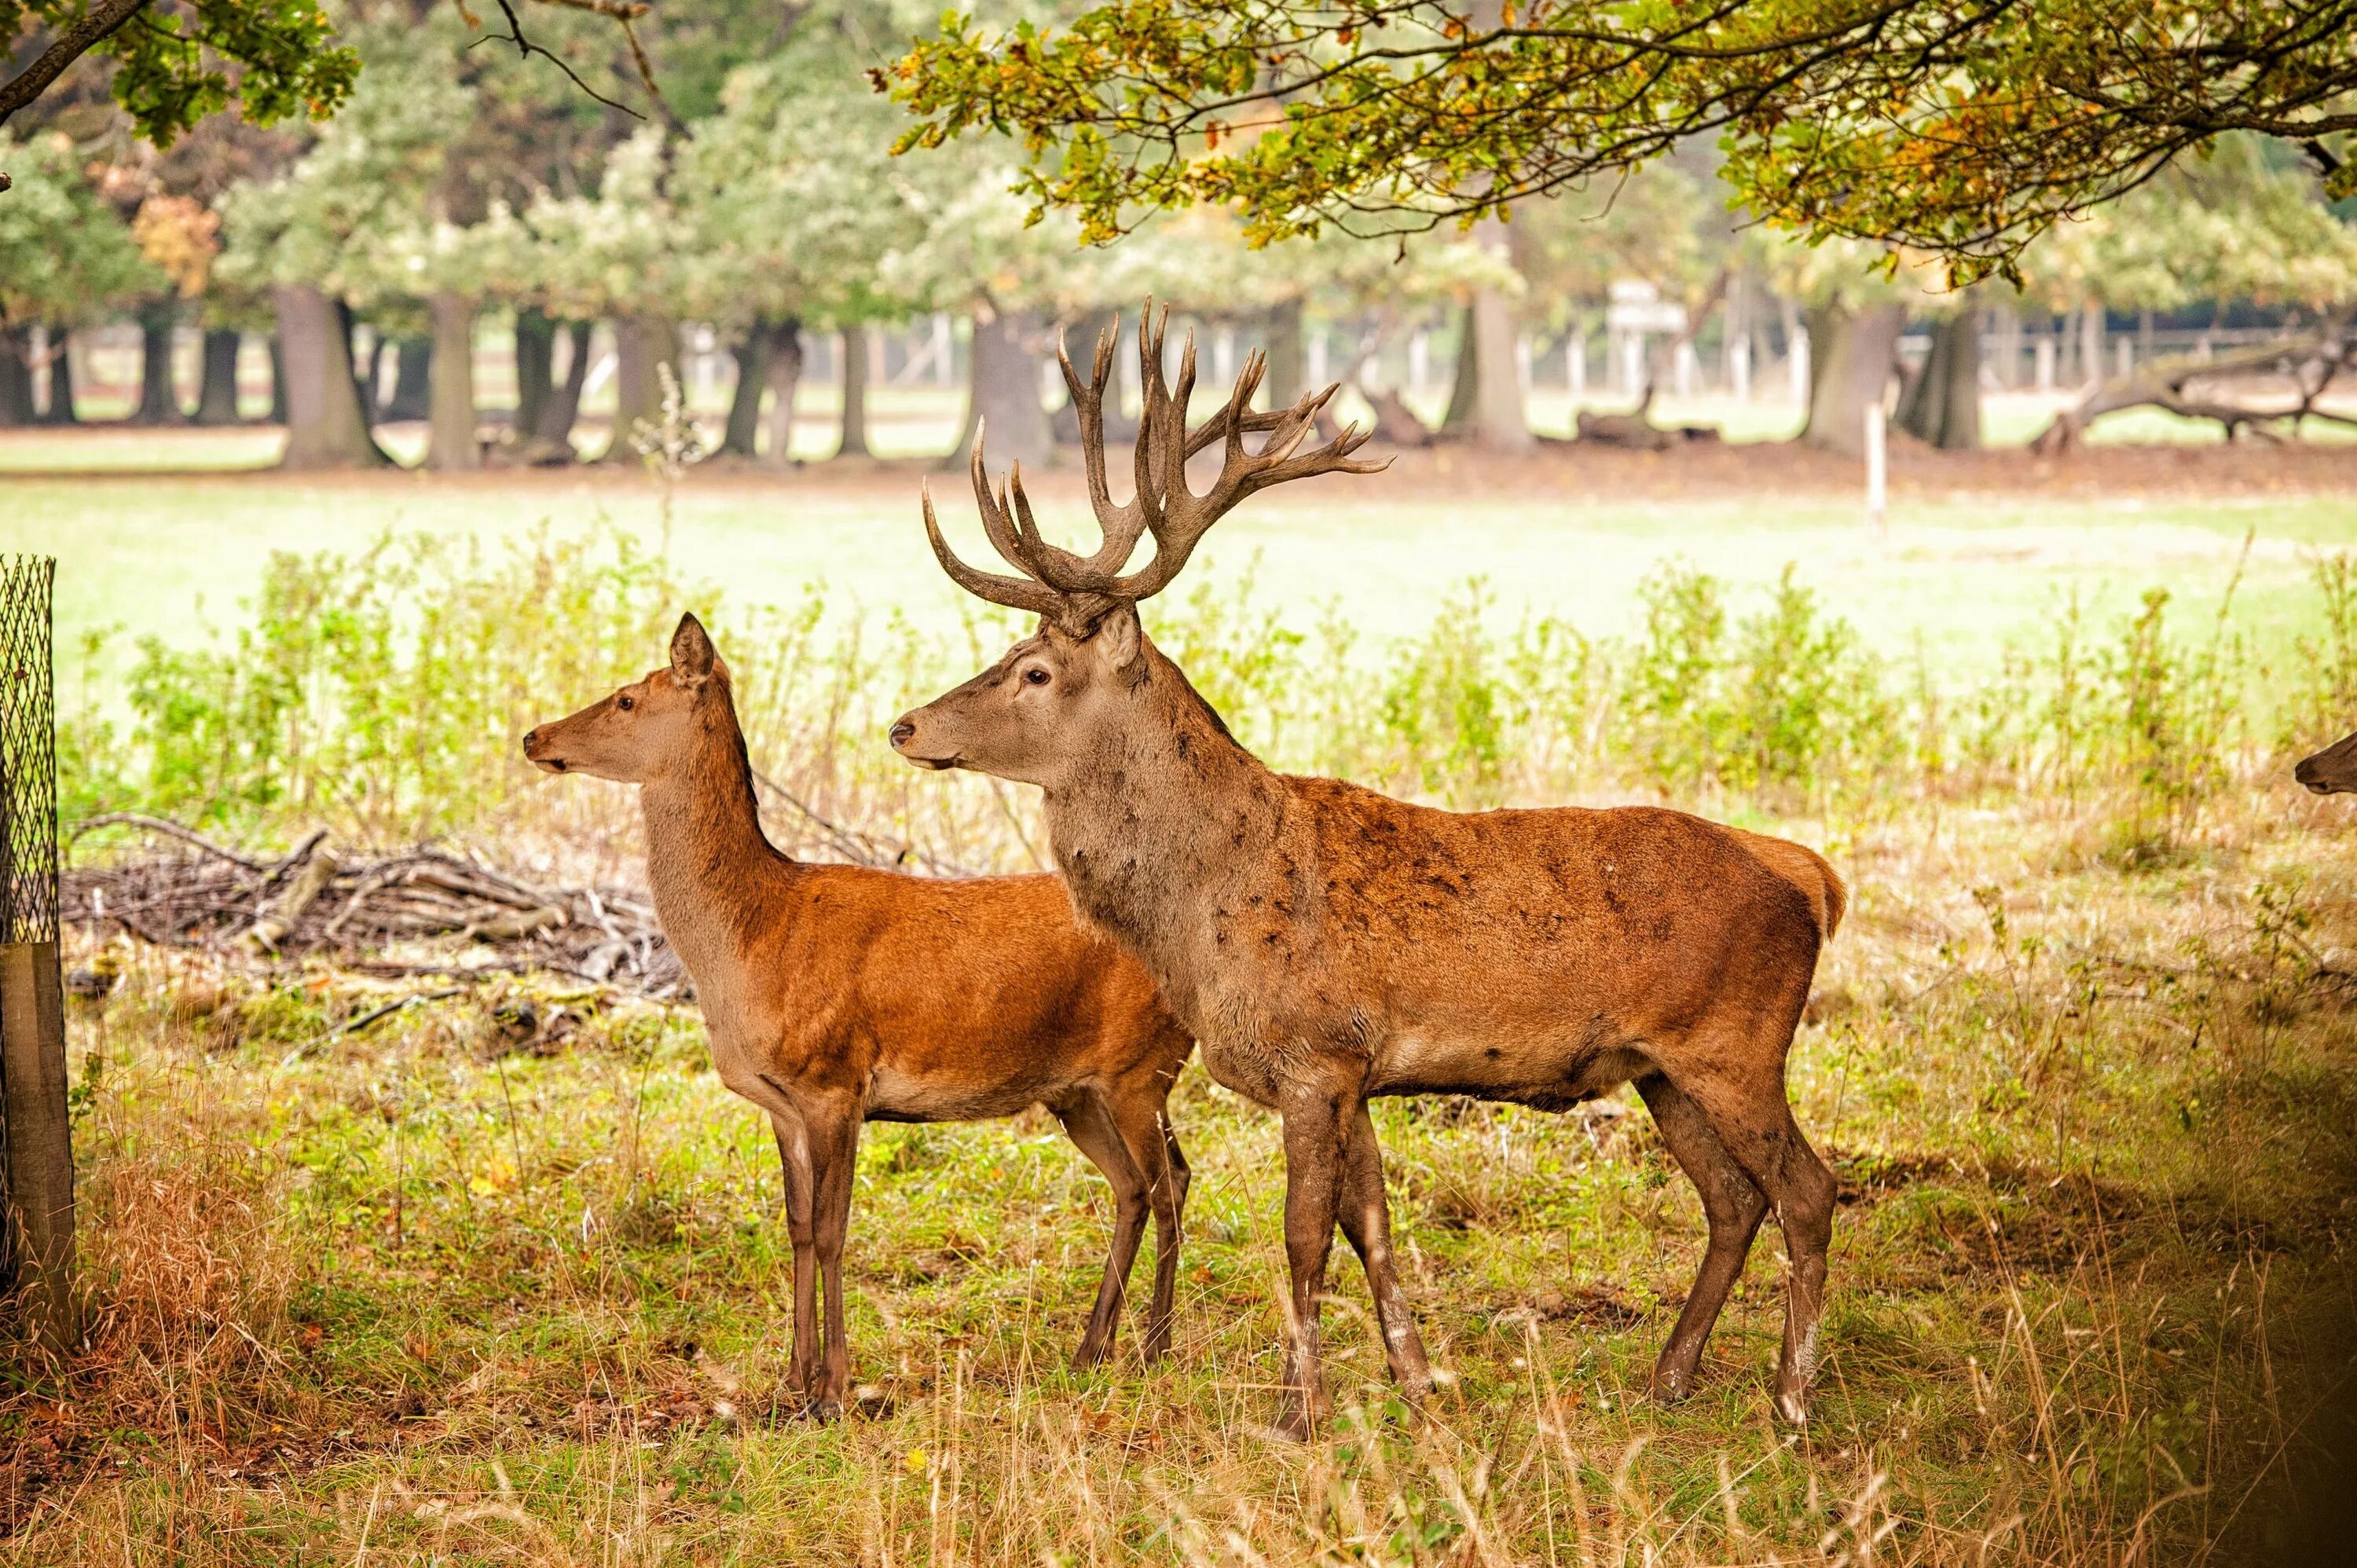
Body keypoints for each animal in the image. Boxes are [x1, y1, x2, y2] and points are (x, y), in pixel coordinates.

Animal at [535, 617, 1197, 1414]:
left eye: (627, 698)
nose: (535, 737)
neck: (750, 941)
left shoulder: (834, 1081)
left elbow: (832, 1230)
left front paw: (835, 1388)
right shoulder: (782, 1104)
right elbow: (795, 1226)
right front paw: (790, 1381)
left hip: (1142, 1069)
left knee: (1170, 1183)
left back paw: (1154, 1350)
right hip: (1078, 1093)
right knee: (1133, 1187)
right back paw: (1090, 1350)